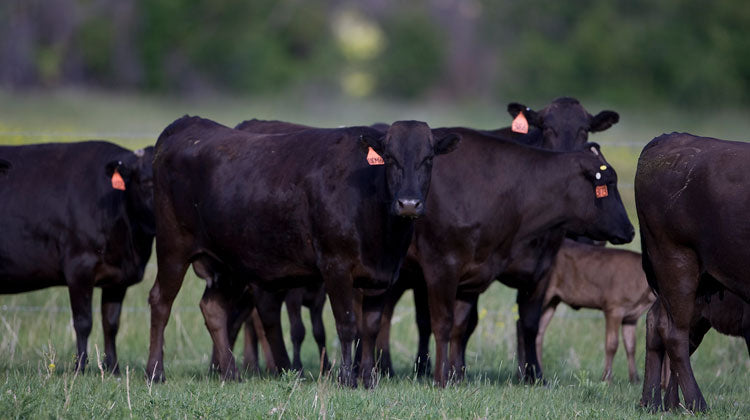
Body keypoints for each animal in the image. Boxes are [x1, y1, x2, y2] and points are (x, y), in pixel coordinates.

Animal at [0, 142, 155, 374]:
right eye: (147, 182)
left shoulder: (117, 278)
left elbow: (111, 324)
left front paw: (114, 369)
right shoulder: (79, 267)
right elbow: (83, 322)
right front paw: (79, 367)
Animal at [145, 116, 462, 386]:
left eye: (428, 159)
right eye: (391, 159)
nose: (408, 203)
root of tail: (188, 124)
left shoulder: (382, 276)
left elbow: (371, 326)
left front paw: (368, 379)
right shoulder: (336, 266)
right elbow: (347, 324)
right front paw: (346, 379)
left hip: (229, 263)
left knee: (213, 308)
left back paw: (232, 373)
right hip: (173, 248)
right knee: (160, 301)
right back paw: (155, 372)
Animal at [636, 133, 750, 412]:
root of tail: (670, 137)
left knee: (657, 323)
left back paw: (653, 402)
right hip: (677, 264)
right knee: (674, 334)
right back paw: (697, 404)